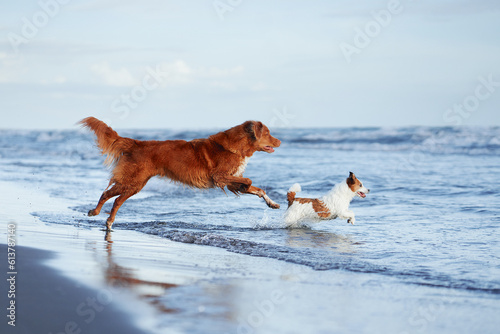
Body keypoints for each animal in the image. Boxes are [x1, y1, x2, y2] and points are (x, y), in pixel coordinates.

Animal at [80, 117, 280, 230]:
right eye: (268, 133)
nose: (280, 142)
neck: (237, 146)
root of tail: (136, 143)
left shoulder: (230, 181)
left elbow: (258, 189)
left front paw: (272, 203)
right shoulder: (220, 177)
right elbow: (248, 180)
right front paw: (251, 187)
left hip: (136, 184)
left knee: (114, 199)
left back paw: (105, 219)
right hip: (133, 181)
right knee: (109, 195)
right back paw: (99, 215)